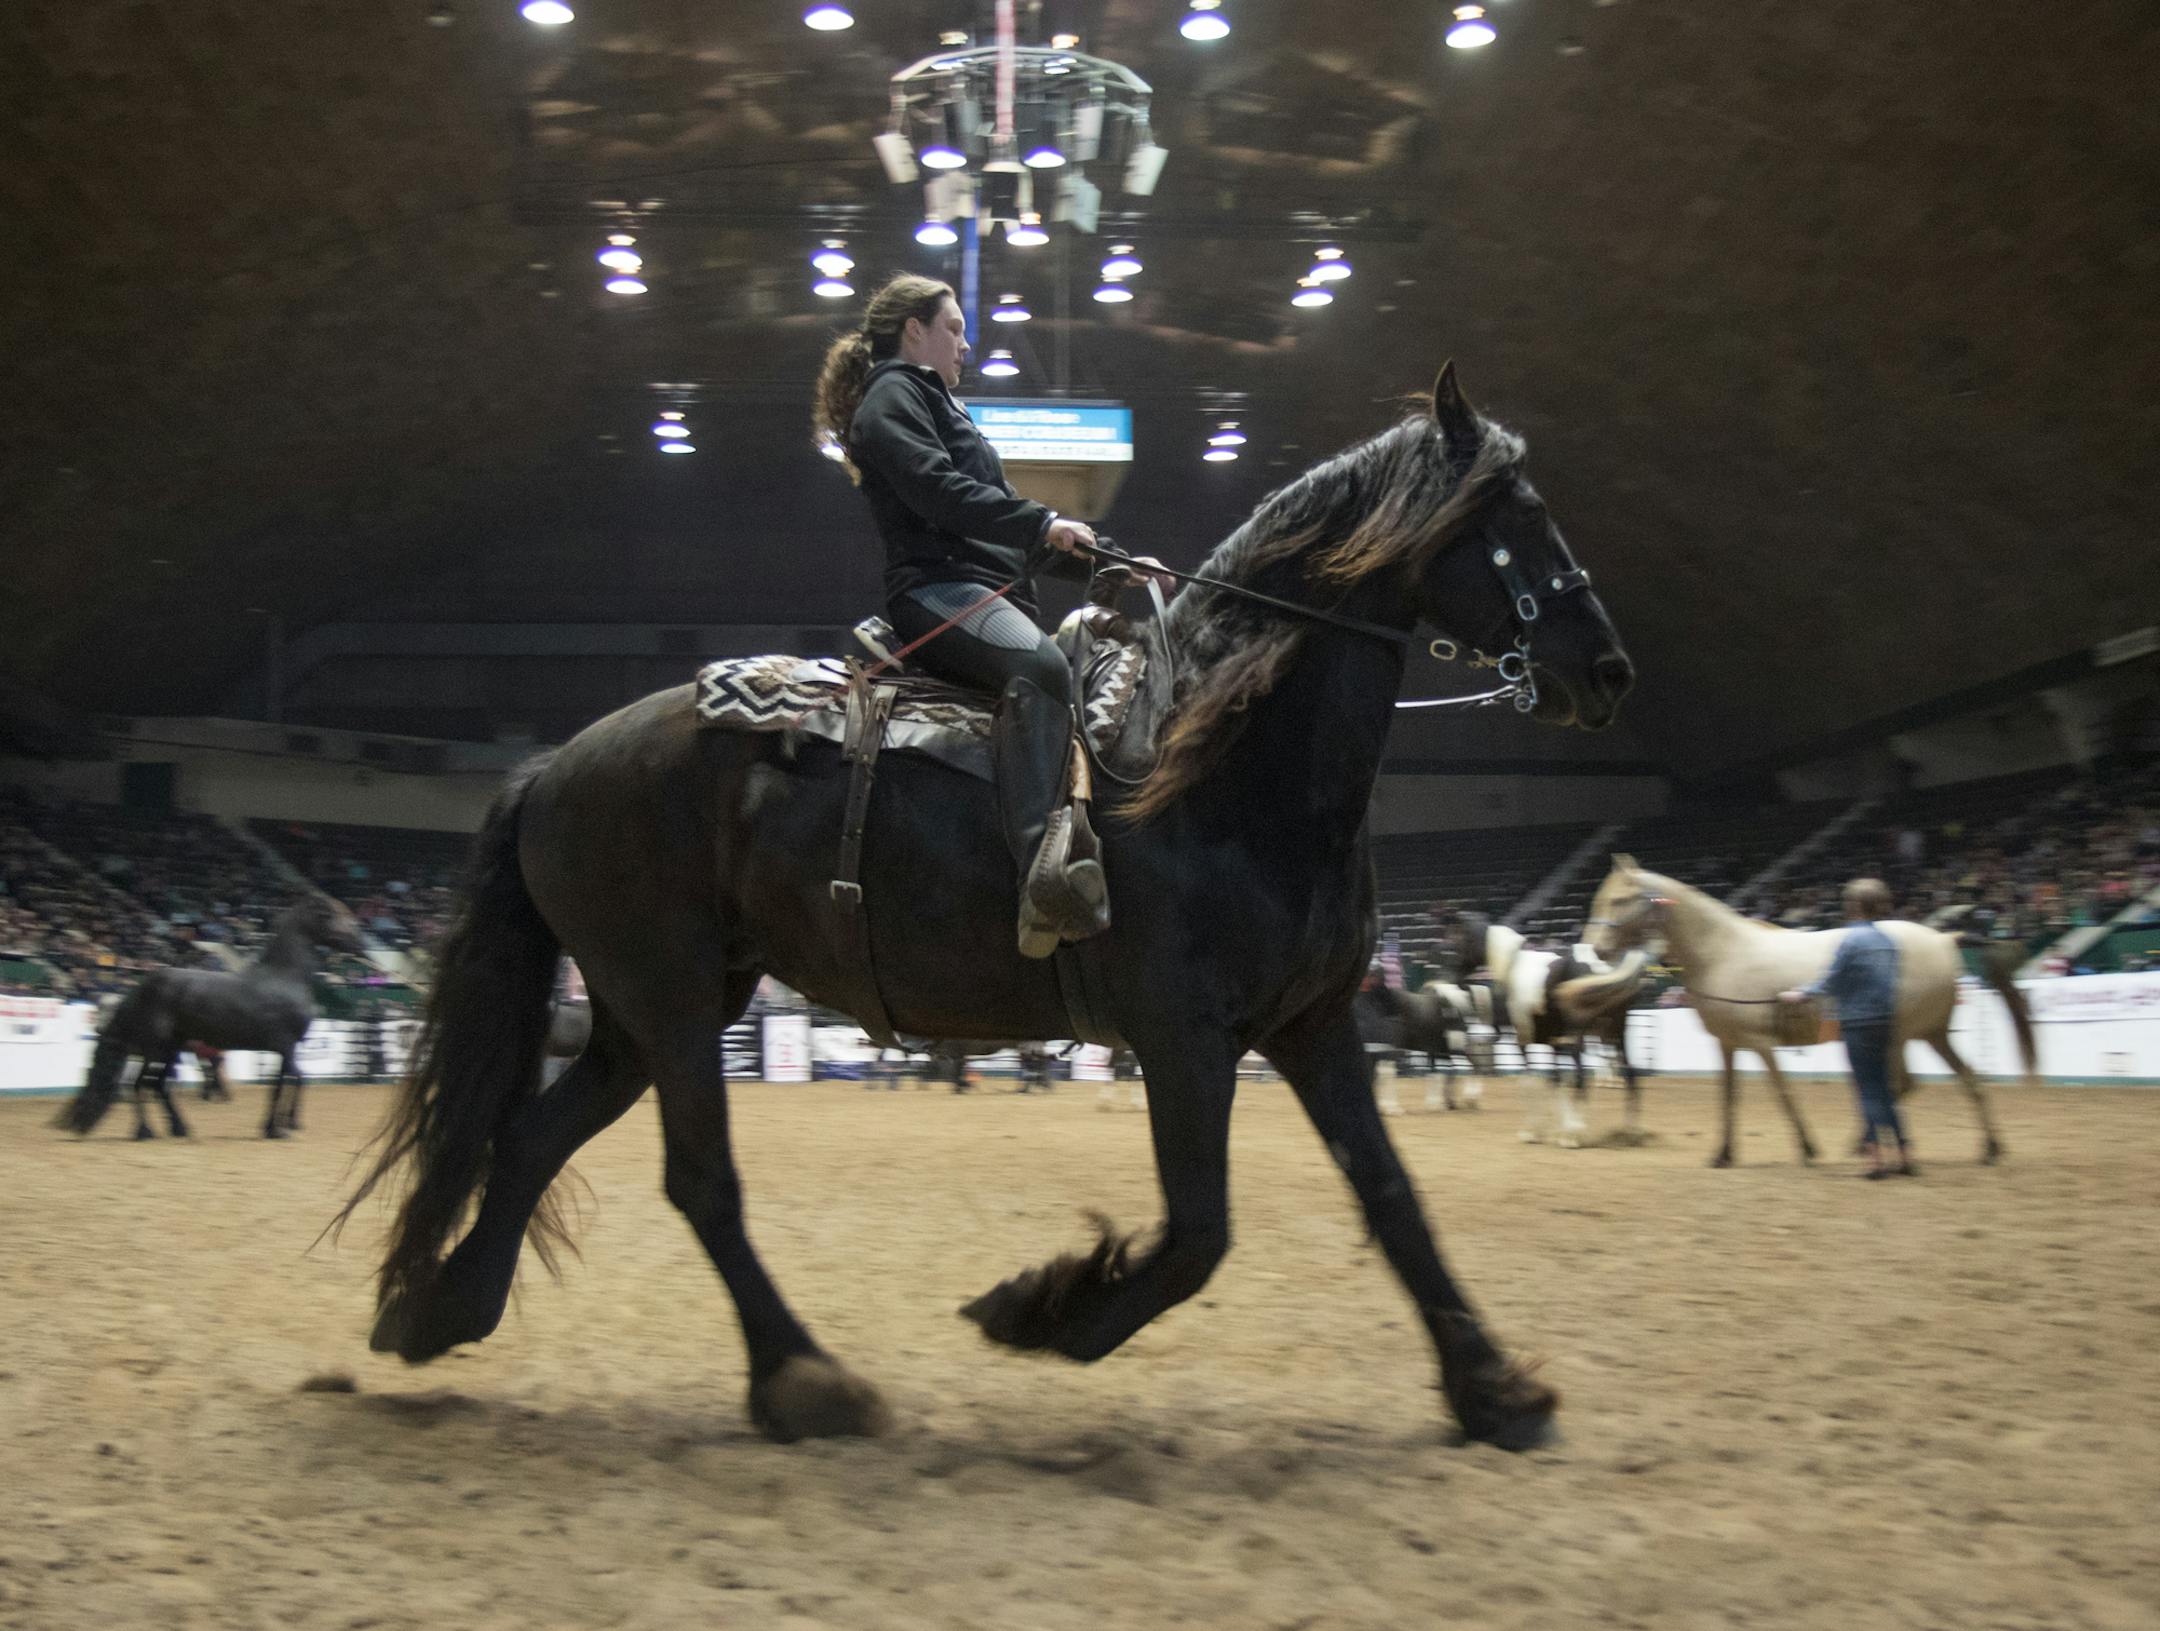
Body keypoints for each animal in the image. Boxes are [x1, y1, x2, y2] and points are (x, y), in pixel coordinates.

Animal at [57, 895, 365, 1140]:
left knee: (157, 1086)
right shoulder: (285, 1045)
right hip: (156, 1048)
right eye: (330, 915)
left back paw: (180, 1129)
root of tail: (138, 988)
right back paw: (145, 1132)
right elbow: (298, 1079)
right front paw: (286, 1126)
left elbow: (282, 1083)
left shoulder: (283, 1050)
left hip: (169, 1049)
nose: (358, 944)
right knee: (141, 1085)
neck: (284, 978)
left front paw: (273, 1127)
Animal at [336, 364, 1634, 1452]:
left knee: (528, 1138)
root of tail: (553, 764)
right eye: (1518, 518)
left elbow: (1392, 1197)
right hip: (671, 1003)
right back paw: (805, 1378)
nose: (1608, 670)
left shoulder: (1312, 1028)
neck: (1218, 765)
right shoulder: (1186, 1039)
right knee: (698, 1181)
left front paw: (1495, 1392)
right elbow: (1199, 1232)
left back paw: (438, 1308)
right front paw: (1045, 1308)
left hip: (642, 1013)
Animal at [1582, 856, 2038, 1166]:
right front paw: (1723, 1154)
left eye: (1619, 900)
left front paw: (1807, 1147)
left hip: (1902, 1035)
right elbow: (1729, 1098)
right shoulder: (1728, 1045)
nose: (1597, 950)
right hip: (1928, 1034)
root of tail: (1945, 939)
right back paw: (1988, 1148)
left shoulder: (1761, 1044)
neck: (1722, 953)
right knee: (1961, 1079)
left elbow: (1782, 1093)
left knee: (1901, 1084)